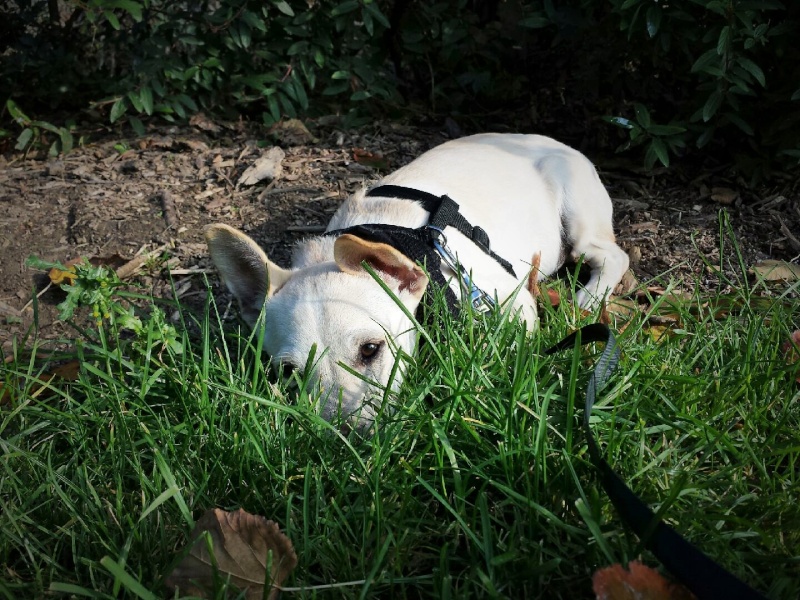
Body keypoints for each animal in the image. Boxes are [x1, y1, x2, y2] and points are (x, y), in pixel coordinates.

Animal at [203, 134, 628, 428]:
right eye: (289, 373)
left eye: (371, 350)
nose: (348, 435)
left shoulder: (511, 300)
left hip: (577, 216)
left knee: (612, 255)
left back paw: (590, 298)